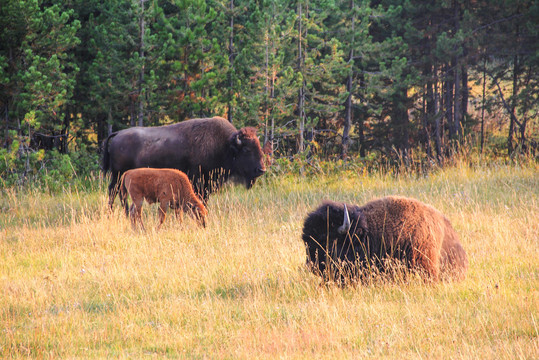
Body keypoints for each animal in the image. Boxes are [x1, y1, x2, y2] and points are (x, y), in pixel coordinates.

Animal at [101, 117, 266, 208]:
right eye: (247, 150)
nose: (261, 170)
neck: (224, 145)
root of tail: (118, 134)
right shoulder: (199, 182)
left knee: (117, 192)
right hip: (118, 174)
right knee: (114, 191)